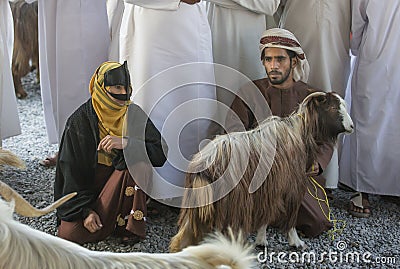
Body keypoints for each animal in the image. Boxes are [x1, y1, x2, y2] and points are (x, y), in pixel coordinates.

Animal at [169, 91, 354, 250]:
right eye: (332, 108)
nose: (352, 126)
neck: (300, 133)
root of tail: (205, 164)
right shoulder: (291, 186)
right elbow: (289, 216)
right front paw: (296, 242)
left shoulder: (269, 188)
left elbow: (266, 215)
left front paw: (261, 240)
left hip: (198, 203)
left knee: (185, 235)